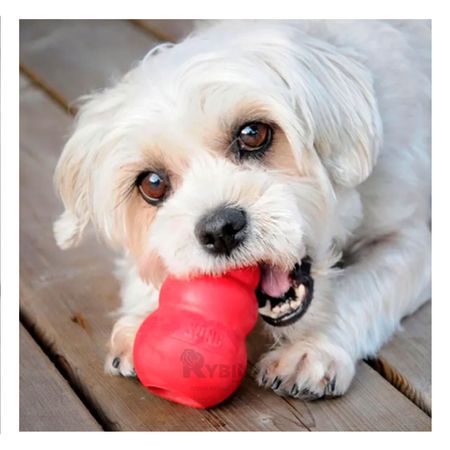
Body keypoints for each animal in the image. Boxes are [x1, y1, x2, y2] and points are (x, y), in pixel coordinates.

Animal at [53, 20, 432, 400]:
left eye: (253, 134)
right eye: (153, 183)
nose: (220, 230)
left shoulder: (409, 241)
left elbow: (355, 290)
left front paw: (310, 348)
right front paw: (143, 318)